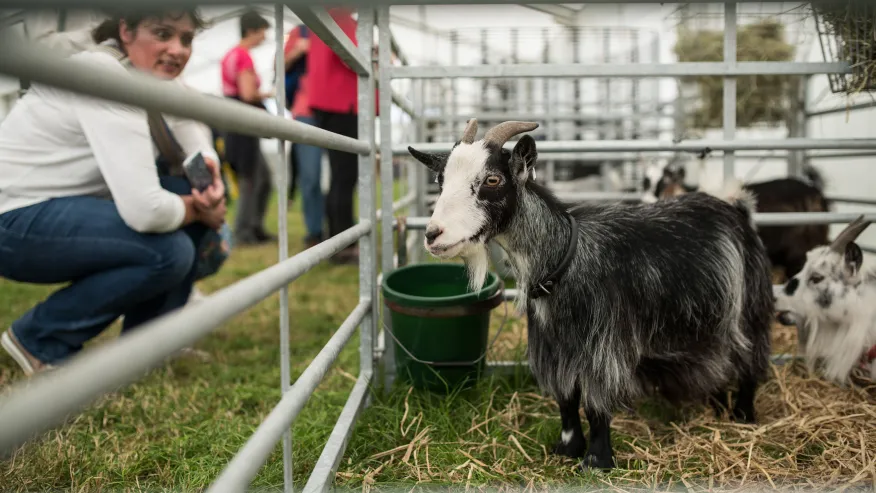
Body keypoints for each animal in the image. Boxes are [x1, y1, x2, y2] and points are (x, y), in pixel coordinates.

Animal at [408, 119, 772, 468]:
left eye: (493, 179)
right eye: (440, 180)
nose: (433, 234)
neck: (562, 260)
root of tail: (736, 207)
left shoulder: (602, 347)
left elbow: (596, 404)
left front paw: (597, 460)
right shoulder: (554, 349)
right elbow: (567, 399)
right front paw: (567, 449)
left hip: (750, 307)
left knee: (749, 360)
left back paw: (743, 416)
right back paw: (718, 404)